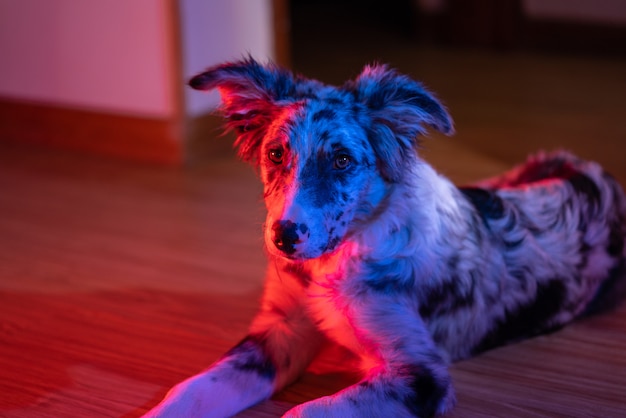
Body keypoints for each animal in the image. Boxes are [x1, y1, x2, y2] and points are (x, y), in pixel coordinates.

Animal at [143, 58, 624, 418]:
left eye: (342, 160)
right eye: (276, 154)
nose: (283, 239)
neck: (335, 258)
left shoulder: (421, 374)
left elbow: (304, 411)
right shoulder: (279, 331)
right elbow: (192, 390)